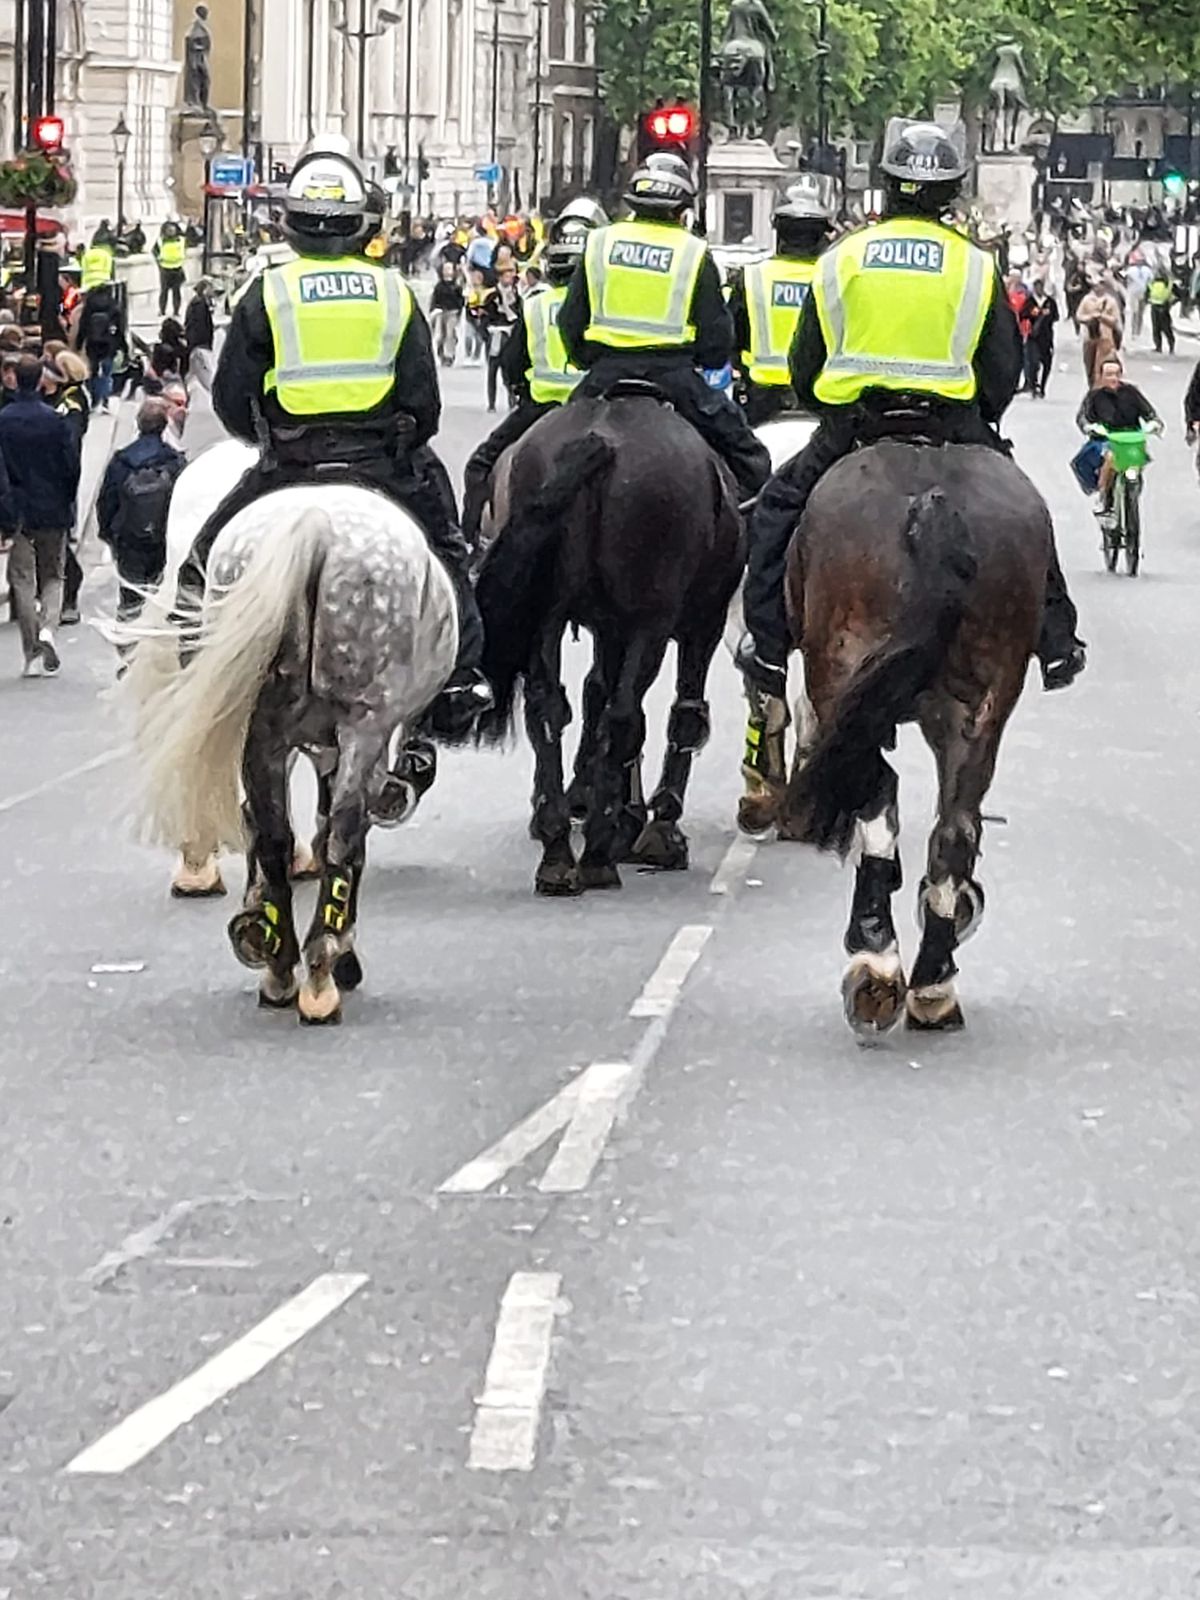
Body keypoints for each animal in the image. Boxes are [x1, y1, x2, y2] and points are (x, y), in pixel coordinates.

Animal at [476, 385, 742, 889]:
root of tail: (597, 438)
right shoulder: (701, 625)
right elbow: (681, 714)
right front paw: (654, 826)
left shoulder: (608, 628)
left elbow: (596, 697)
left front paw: (619, 810)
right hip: (651, 620)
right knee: (625, 717)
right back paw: (599, 851)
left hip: (547, 618)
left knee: (548, 710)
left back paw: (559, 848)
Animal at [780, 438, 1049, 1036]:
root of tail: (932, 502)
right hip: (980, 704)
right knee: (955, 828)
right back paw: (932, 981)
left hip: (840, 672)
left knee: (877, 794)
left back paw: (876, 964)